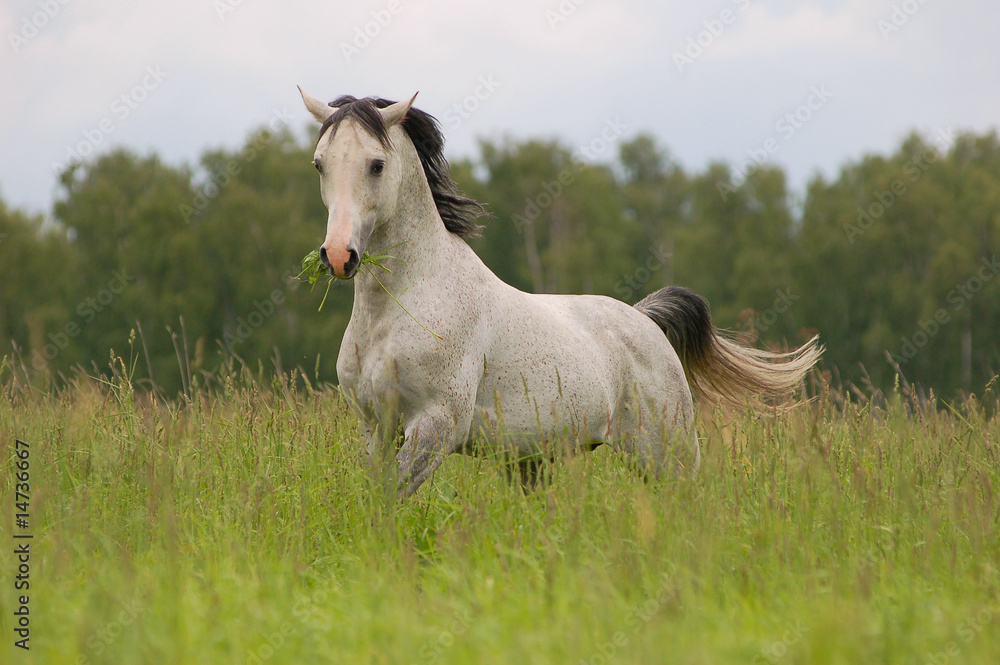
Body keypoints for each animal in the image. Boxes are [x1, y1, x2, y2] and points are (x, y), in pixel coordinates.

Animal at [297, 87, 823, 498]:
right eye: (320, 165)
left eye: (376, 164)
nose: (339, 256)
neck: (402, 306)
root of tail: (645, 321)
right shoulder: (376, 427)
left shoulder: (435, 426)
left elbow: (391, 499)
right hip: (534, 463)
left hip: (666, 456)